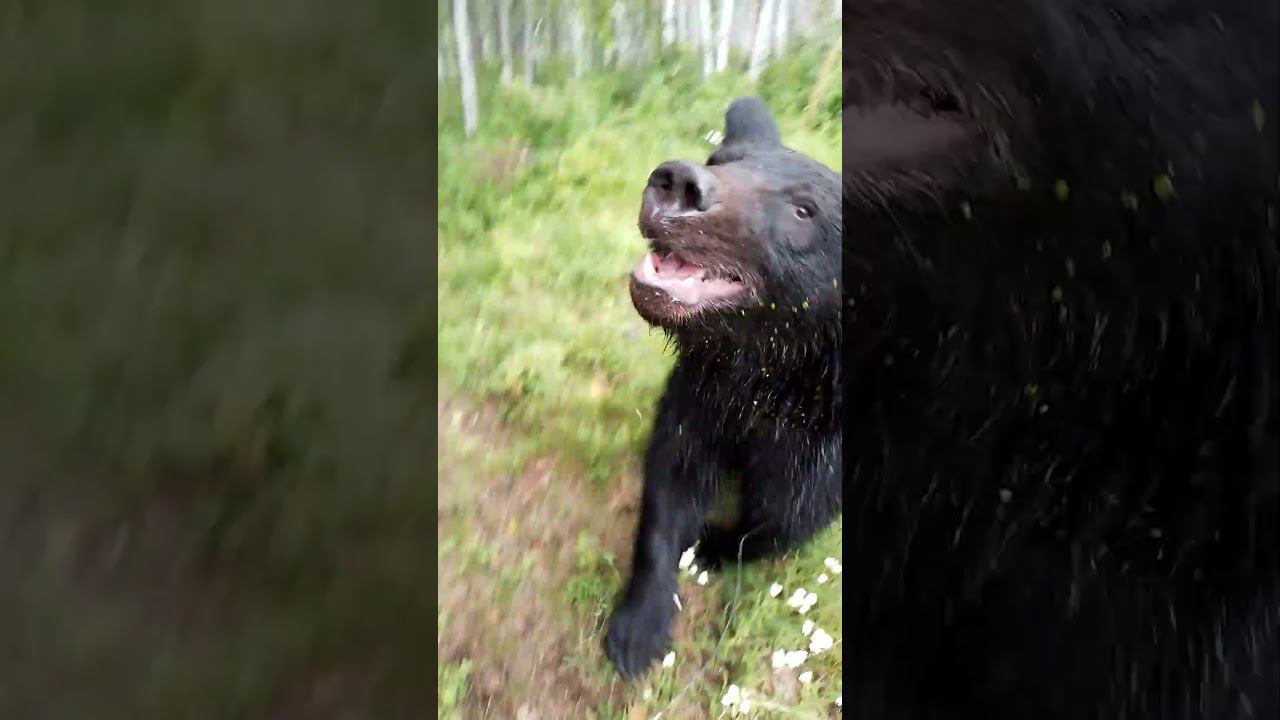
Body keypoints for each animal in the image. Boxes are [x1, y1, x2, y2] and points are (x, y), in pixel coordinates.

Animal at [604, 97, 843, 677]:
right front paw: (637, 629)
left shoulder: (821, 443)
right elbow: (671, 481)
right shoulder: (705, 393)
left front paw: (714, 543)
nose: (677, 182)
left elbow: (786, 516)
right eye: (720, 158)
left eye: (804, 210)